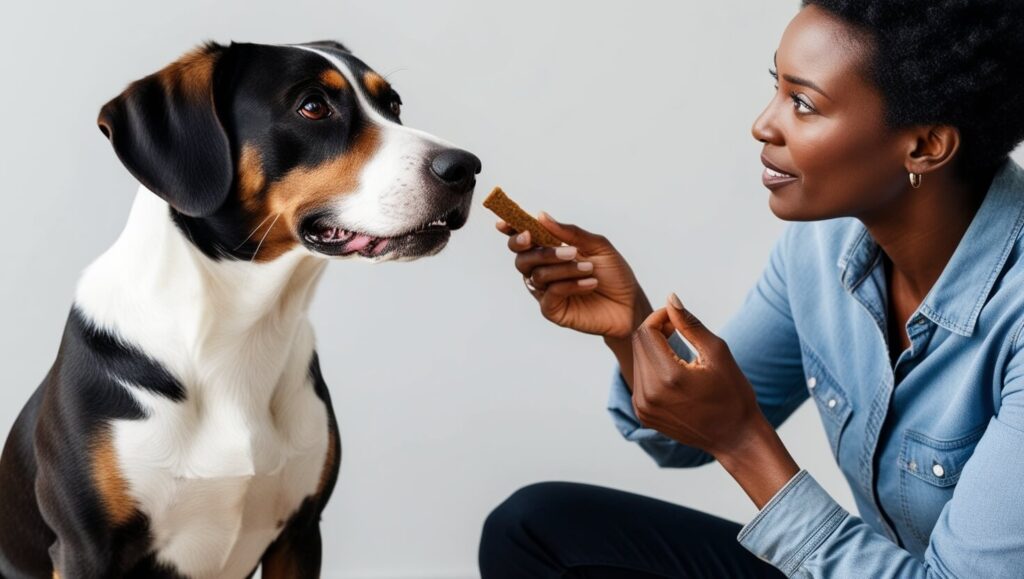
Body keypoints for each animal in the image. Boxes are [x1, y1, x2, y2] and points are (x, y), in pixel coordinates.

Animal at [0, 38, 479, 573]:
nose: (465, 167)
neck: (240, 332)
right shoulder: (85, 548)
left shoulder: (300, 532)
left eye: (393, 105)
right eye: (313, 106)